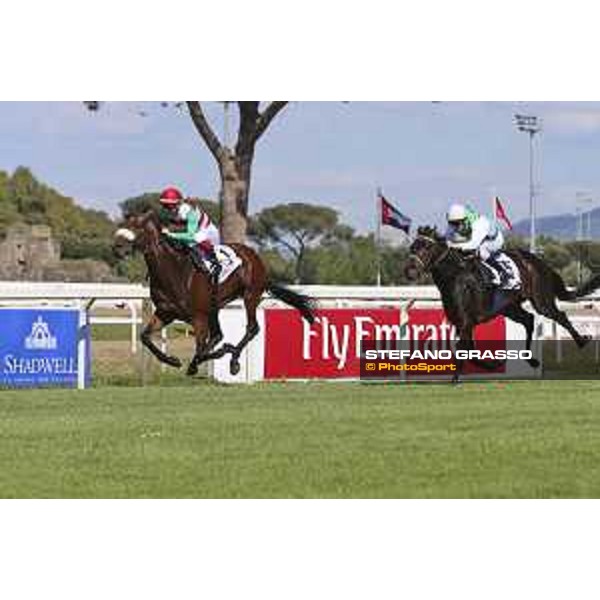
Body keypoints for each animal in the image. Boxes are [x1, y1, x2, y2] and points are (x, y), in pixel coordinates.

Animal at [114, 212, 316, 376]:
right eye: (124, 224)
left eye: (138, 227)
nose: (117, 247)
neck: (173, 271)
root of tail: (254, 257)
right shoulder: (166, 313)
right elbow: (145, 337)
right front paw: (173, 361)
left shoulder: (198, 317)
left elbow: (202, 349)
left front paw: (222, 352)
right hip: (214, 307)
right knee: (218, 335)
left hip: (250, 295)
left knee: (251, 328)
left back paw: (233, 360)